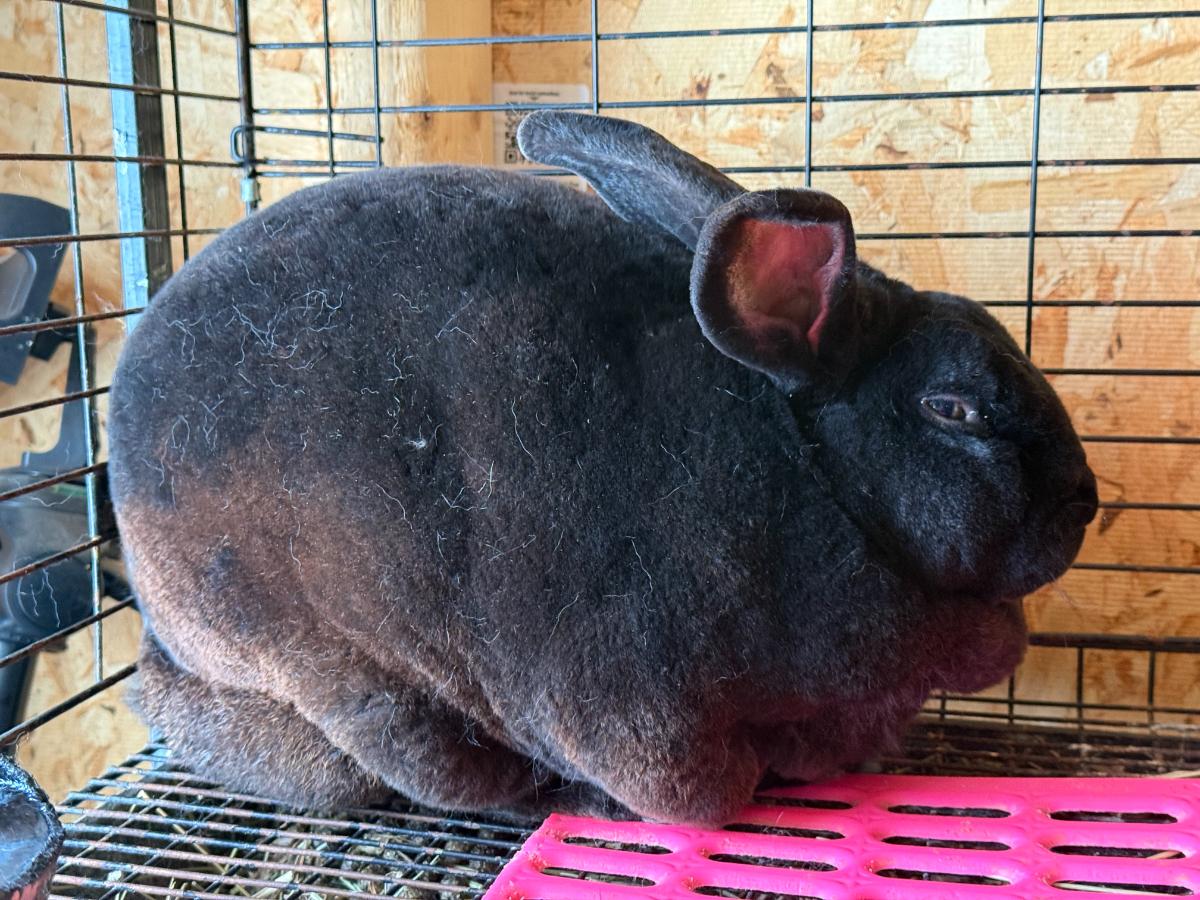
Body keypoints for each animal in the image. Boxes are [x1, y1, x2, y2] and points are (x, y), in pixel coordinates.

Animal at [109, 111, 1098, 825]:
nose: (1086, 505)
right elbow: (701, 797)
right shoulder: (639, 720)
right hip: (335, 673)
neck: (812, 470)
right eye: (954, 410)